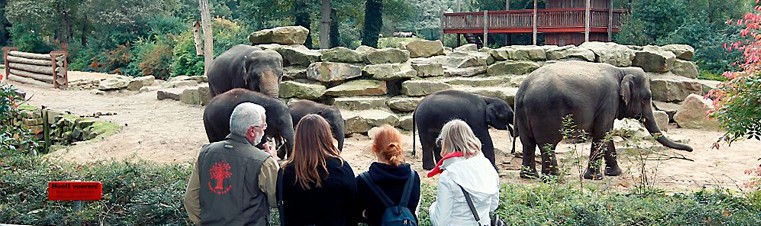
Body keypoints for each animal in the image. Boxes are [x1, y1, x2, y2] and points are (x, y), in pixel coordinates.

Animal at [512, 61, 692, 180]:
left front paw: (615, 173)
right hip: (545, 111)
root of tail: (523, 90)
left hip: (522, 114)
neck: (622, 71)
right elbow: (602, 132)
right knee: (548, 143)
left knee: (528, 143)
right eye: (646, 97)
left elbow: (606, 134)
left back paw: (529, 176)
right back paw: (555, 177)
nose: (690, 150)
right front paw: (595, 177)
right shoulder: (609, 100)